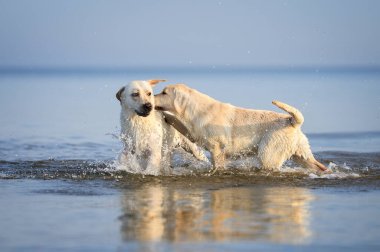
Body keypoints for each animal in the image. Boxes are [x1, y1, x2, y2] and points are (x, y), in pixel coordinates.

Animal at [154, 83, 330, 174]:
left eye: (164, 92)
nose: (150, 97)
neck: (194, 109)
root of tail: (292, 121)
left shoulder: (217, 149)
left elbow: (217, 165)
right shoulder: (193, 133)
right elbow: (180, 124)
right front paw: (167, 116)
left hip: (269, 153)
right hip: (302, 154)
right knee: (318, 165)